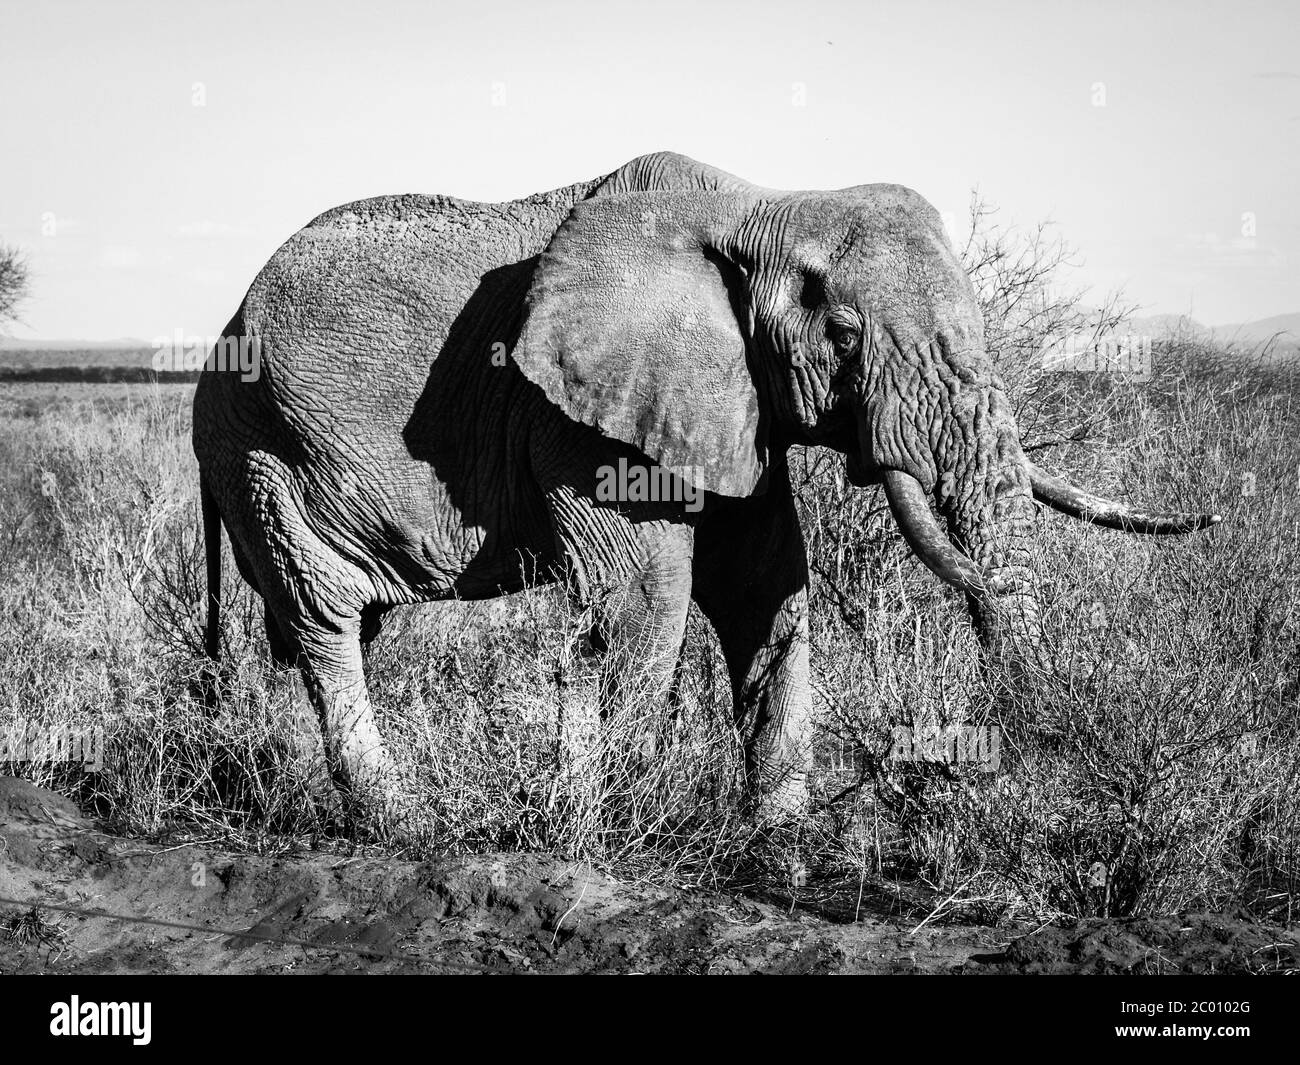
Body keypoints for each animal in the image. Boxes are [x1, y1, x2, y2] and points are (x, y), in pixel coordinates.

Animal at [192, 150, 1216, 821]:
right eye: (845, 334)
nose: (1026, 760)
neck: (762, 203)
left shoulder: (727, 403)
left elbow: (765, 583)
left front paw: (782, 843)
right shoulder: (578, 418)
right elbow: (647, 600)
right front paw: (607, 829)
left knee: (326, 628)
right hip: (265, 451)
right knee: (326, 625)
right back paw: (402, 822)